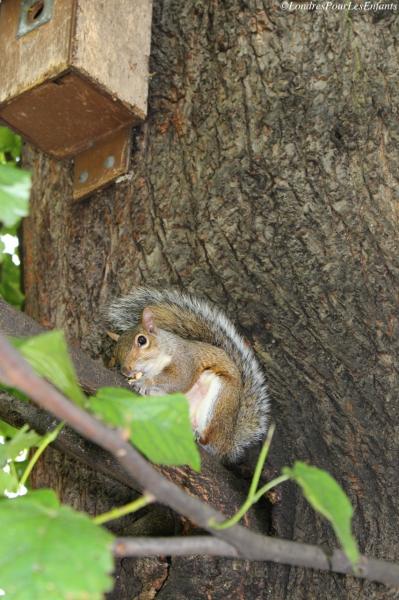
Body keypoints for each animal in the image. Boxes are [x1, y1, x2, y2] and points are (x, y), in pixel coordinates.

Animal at [106, 288, 270, 462]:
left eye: (142, 340)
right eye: (116, 352)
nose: (126, 370)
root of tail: (227, 443)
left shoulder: (185, 361)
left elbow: (179, 380)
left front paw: (144, 382)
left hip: (218, 400)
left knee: (208, 439)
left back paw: (198, 435)